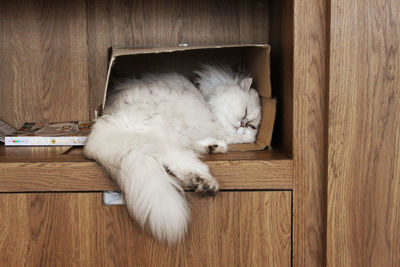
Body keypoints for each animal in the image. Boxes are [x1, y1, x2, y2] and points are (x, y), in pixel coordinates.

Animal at [83, 65, 262, 245]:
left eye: (252, 126)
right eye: (245, 113)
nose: (243, 124)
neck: (207, 99)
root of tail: (97, 136)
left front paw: (216, 145)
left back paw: (209, 160)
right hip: (163, 136)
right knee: (183, 161)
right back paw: (206, 183)